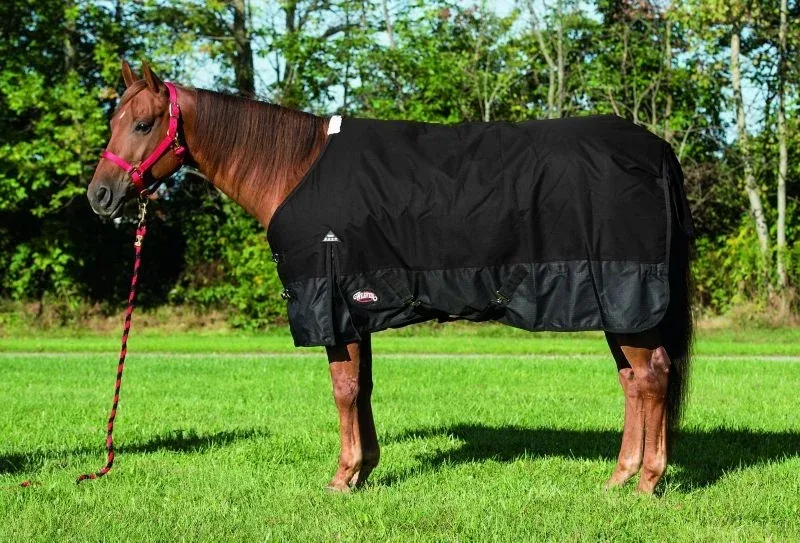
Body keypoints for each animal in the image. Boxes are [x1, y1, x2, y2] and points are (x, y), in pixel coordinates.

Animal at [87, 61, 693, 494]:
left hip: (628, 298)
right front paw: (365, 470)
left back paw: (648, 483)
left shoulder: (330, 305)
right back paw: (618, 478)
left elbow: (343, 389)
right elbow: (364, 387)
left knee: (653, 377)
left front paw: (342, 477)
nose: (100, 196)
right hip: (616, 307)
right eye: (113, 122)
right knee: (633, 382)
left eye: (142, 123)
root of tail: (658, 150)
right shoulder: (358, 307)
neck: (294, 168)